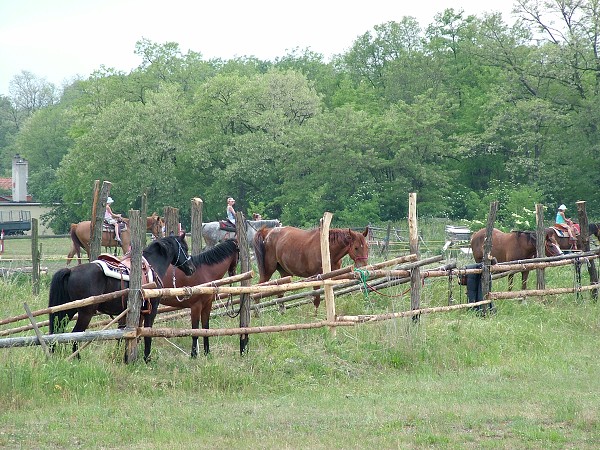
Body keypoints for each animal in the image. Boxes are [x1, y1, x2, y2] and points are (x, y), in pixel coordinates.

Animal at [49, 236, 195, 362]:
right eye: (184, 247)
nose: (192, 268)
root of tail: (71, 271)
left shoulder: (128, 314)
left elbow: (123, 335)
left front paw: (123, 357)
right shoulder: (152, 310)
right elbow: (147, 333)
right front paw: (146, 358)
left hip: (68, 310)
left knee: (58, 332)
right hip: (85, 313)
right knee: (75, 335)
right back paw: (77, 358)